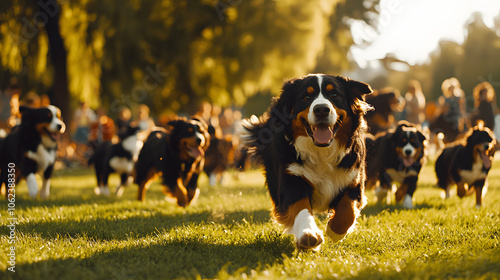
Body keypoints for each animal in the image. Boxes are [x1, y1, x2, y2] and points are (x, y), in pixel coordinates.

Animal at [242, 73, 372, 250]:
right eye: (306, 97)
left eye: (334, 95)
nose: (321, 109)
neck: (322, 153)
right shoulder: (292, 178)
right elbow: (300, 207)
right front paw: (309, 234)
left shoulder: (354, 177)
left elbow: (348, 210)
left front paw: (335, 230)